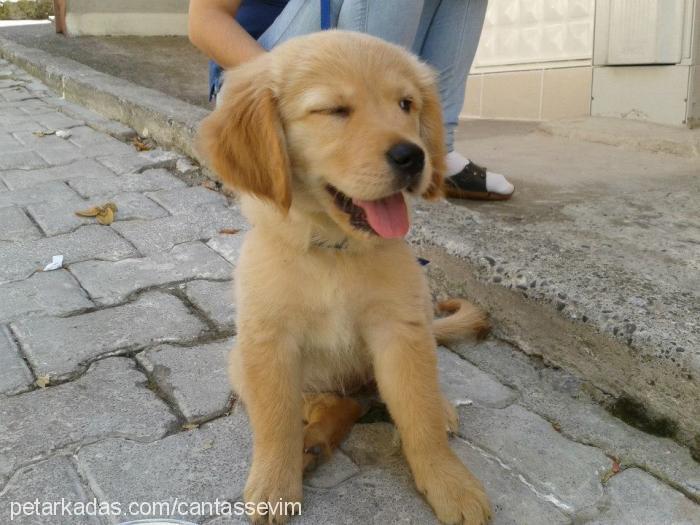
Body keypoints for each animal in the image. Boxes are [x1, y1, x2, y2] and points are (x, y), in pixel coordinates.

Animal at [198, 30, 492, 524]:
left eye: (406, 105)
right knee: (326, 401)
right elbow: (275, 420)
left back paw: (440, 408)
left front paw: (449, 482)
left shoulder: (401, 331)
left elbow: (419, 415)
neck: (334, 251)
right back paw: (314, 433)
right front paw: (275, 483)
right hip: (240, 360)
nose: (414, 157)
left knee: (396, 396)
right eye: (334, 110)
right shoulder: (269, 339)